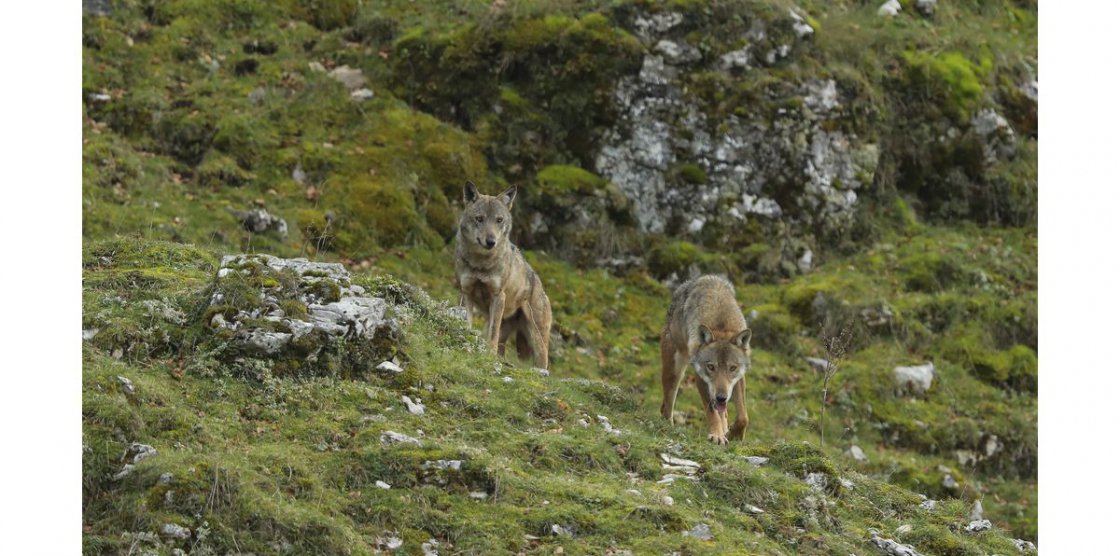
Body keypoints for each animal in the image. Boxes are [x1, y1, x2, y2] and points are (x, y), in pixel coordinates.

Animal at [454, 180, 551, 367]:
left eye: (499, 220)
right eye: (479, 219)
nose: (491, 241)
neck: (480, 264)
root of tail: (540, 285)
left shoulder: (498, 296)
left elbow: (492, 335)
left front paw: (488, 356)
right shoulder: (466, 293)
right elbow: (467, 323)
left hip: (536, 338)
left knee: (543, 360)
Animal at [654, 275, 752, 446]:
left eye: (732, 368)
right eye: (711, 367)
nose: (721, 397)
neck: (721, 326)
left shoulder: (739, 379)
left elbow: (742, 417)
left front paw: (734, 434)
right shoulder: (700, 377)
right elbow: (711, 411)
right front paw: (717, 435)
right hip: (675, 373)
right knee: (666, 406)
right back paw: (669, 427)